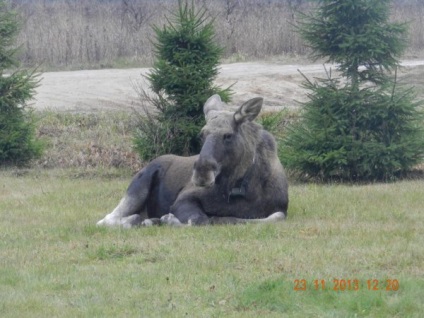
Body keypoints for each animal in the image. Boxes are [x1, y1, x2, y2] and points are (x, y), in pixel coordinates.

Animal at [97, 95, 288, 229]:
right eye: (201, 134)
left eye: (228, 135)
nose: (202, 172)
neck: (242, 186)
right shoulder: (183, 199)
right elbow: (199, 220)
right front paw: (168, 220)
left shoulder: (280, 210)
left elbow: (271, 218)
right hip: (138, 188)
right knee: (105, 219)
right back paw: (135, 220)